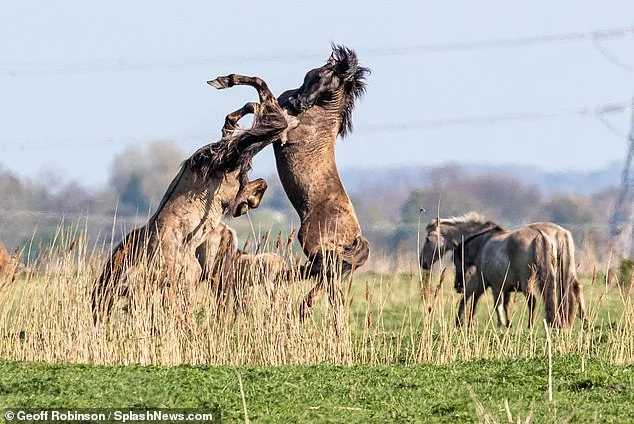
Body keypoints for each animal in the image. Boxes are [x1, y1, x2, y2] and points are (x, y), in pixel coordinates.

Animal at [90, 74, 292, 324]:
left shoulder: (190, 279)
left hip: (236, 155)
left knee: (266, 113)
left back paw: (227, 90)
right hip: (236, 162)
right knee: (258, 116)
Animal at [272, 44, 370, 322]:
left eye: (326, 79)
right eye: (313, 75)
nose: (298, 103)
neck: (320, 116)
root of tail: (356, 238)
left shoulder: (283, 133)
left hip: (311, 242)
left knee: (323, 274)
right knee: (328, 282)